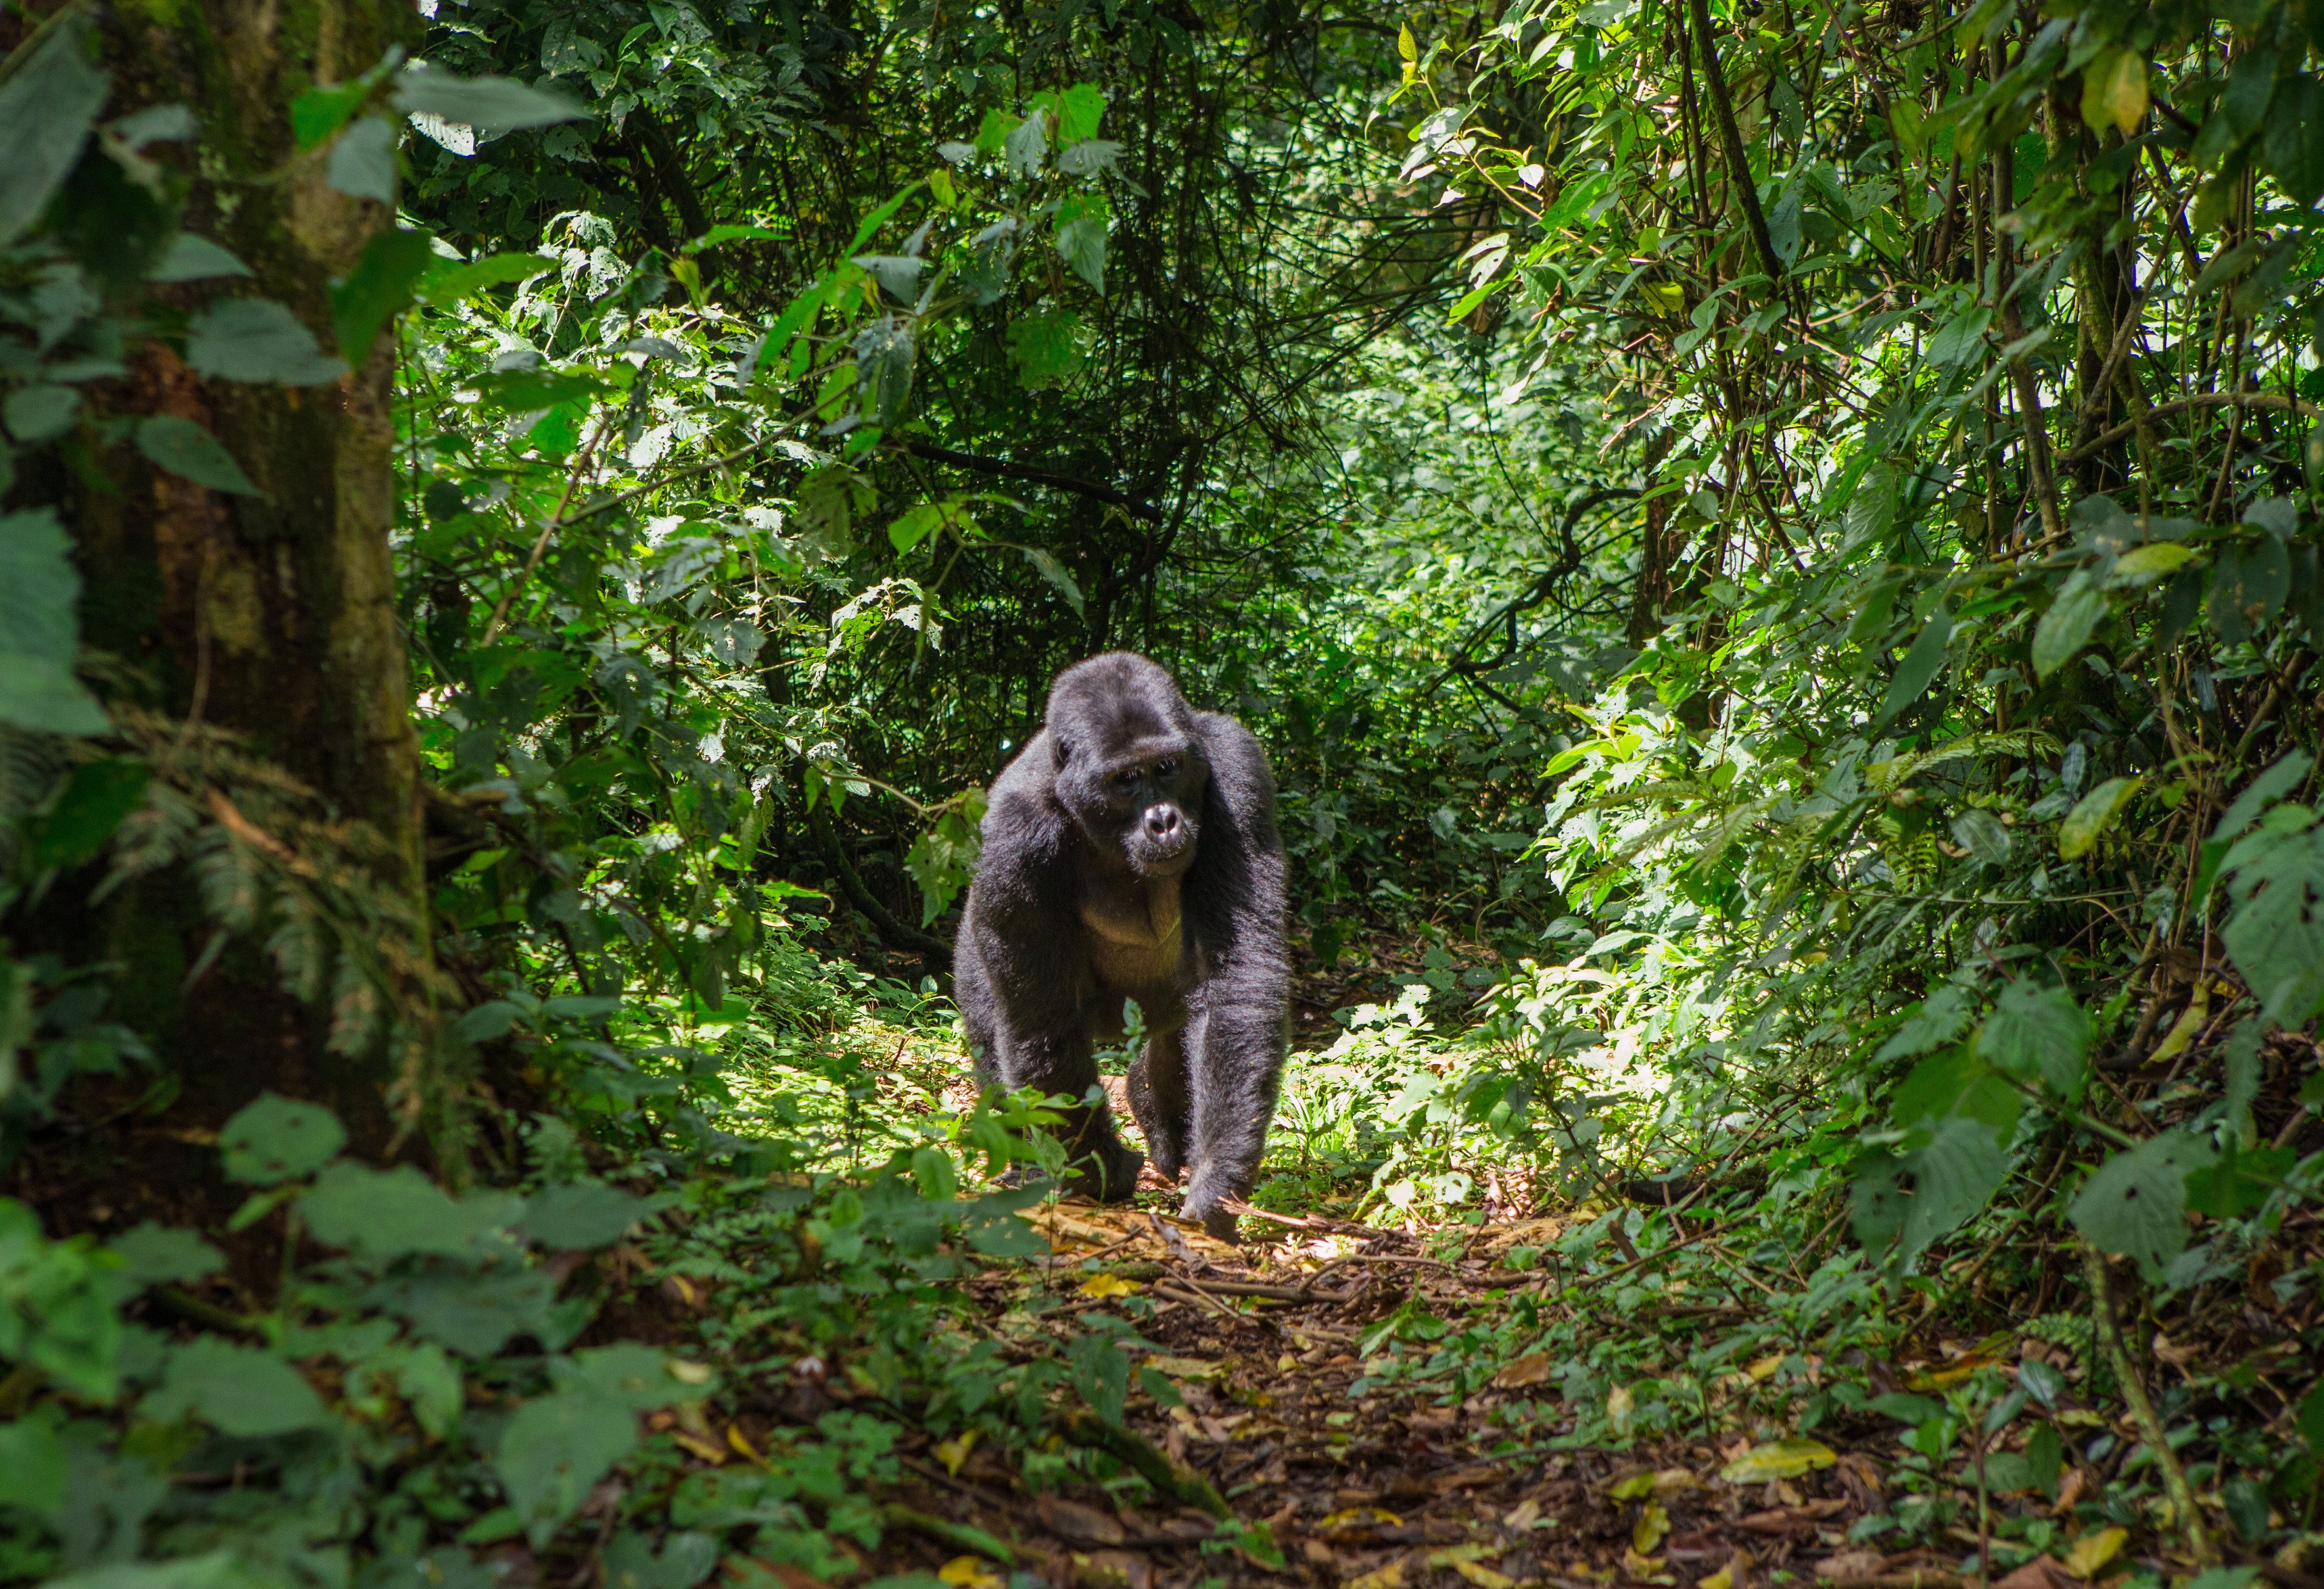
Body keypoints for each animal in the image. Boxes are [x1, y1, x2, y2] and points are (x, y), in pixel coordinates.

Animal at [953, 650, 1301, 1235]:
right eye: (1125, 780)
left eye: (1167, 769)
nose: (1163, 822)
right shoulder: (1012, 835)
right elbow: (1043, 1018)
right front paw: (1100, 1170)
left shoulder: (1238, 770)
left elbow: (1235, 976)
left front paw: (1217, 1178)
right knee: (993, 1026)